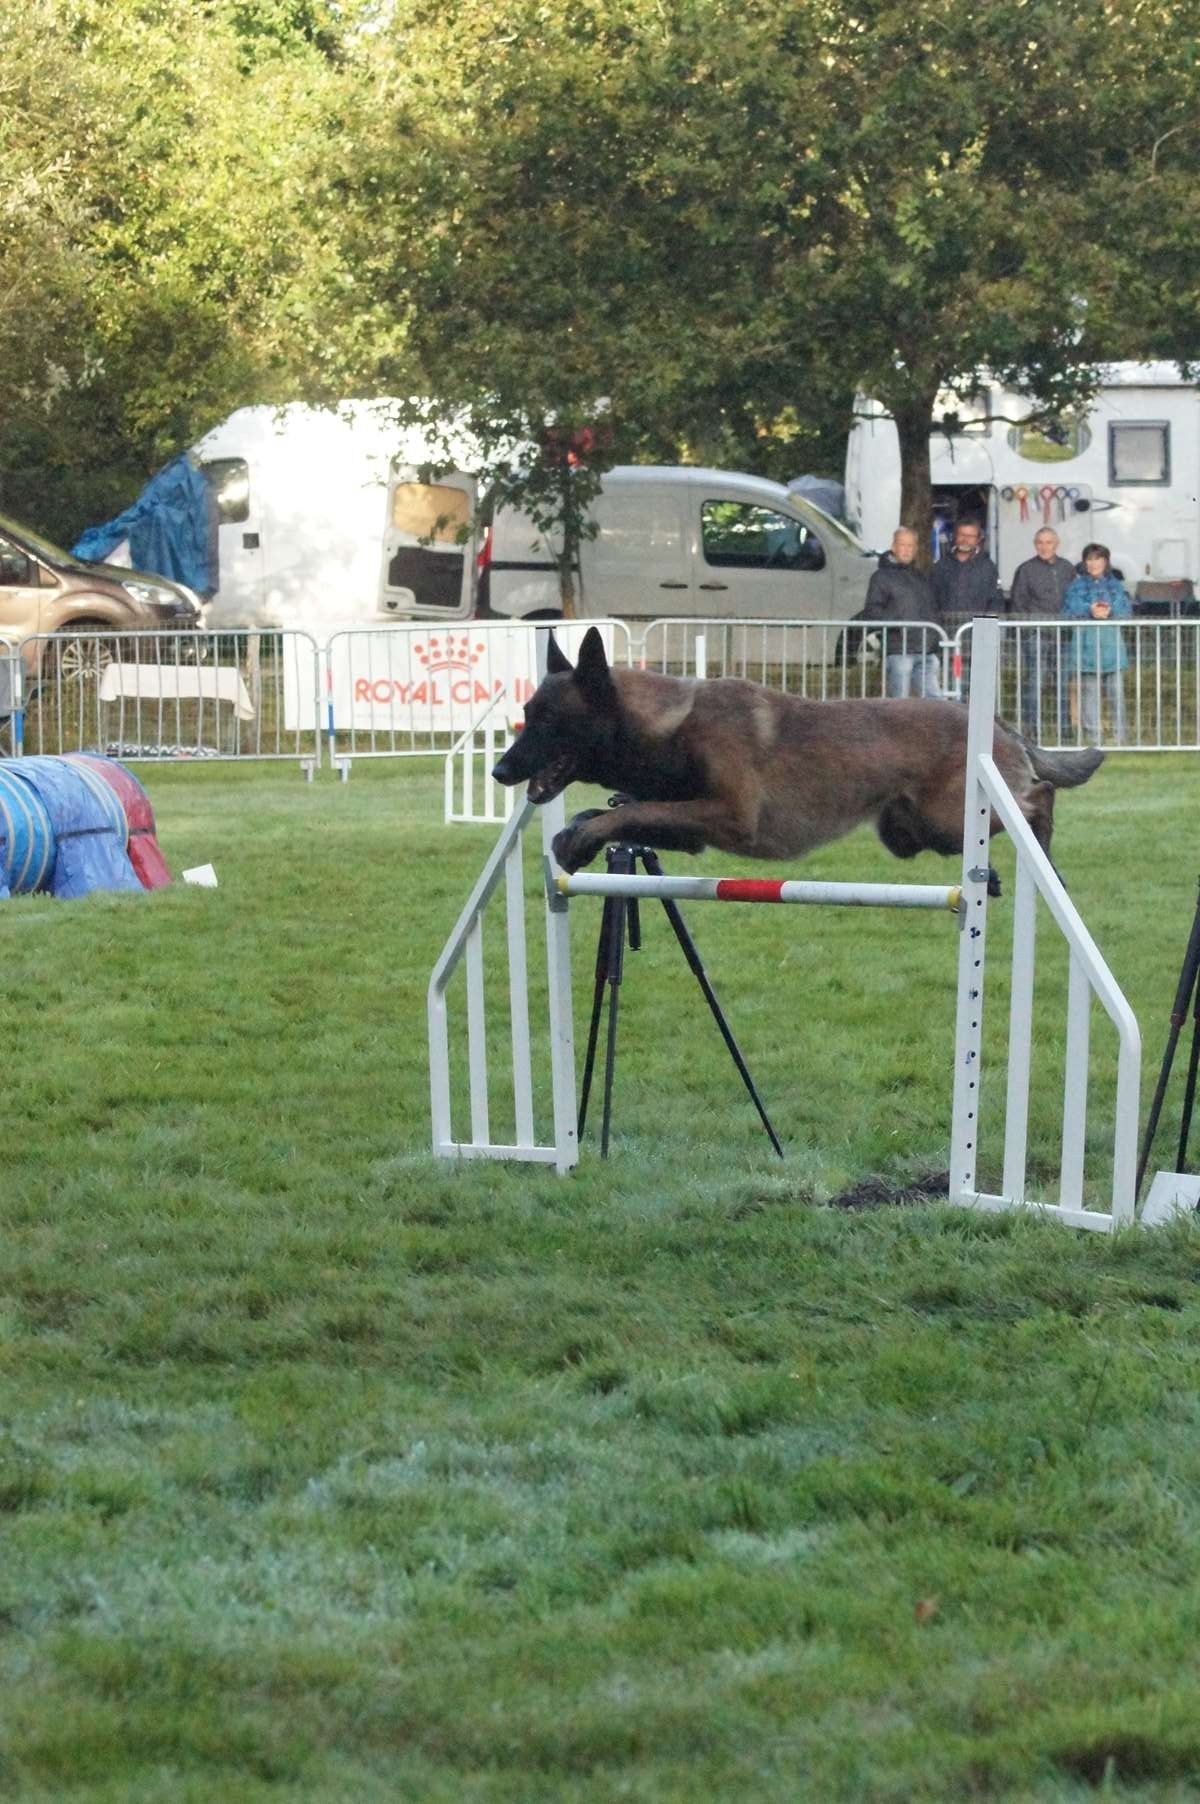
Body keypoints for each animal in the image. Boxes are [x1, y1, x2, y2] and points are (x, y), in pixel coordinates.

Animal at [490, 631, 1097, 876]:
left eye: (547, 721)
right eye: (526, 714)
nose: (498, 770)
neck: (672, 725)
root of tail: (992, 719)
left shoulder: (731, 815)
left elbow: (635, 810)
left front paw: (582, 836)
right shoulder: (690, 827)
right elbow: (624, 811)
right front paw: (579, 833)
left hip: (951, 818)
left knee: (1041, 795)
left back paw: (1046, 845)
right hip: (912, 833)